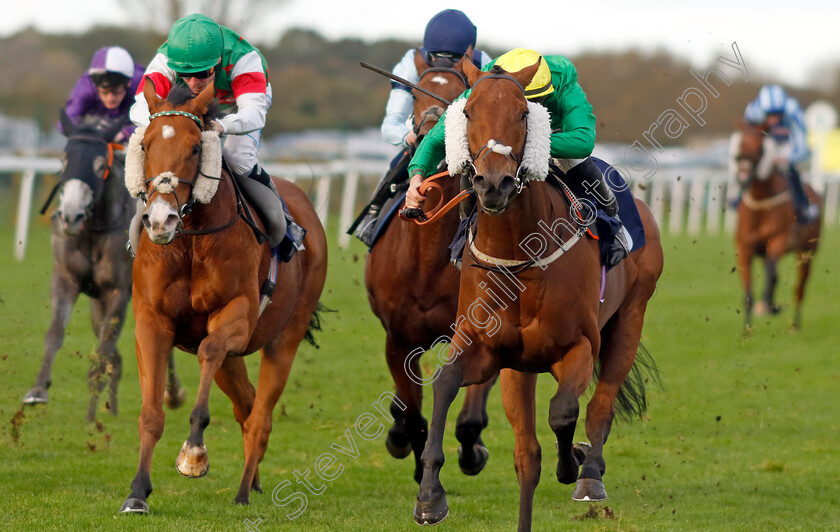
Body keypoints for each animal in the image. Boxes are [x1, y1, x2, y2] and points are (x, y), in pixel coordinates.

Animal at [23, 111, 185, 420]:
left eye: (100, 166)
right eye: (64, 159)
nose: (70, 217)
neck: (94, 229)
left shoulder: (118, 290)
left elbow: (105, 346)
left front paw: (91, 413)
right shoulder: (66, 280)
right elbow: (56, 333)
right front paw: (37, 390)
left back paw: (172, 393)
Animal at [119, 80, 328, 516]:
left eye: (195, 147)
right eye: (145, 144)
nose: (161, 220)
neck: (190, 242)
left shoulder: (237, 314)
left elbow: (209, 350)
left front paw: (194, 453)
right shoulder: (151, 321)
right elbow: (151, 413)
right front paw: (137, 492)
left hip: (285, 337)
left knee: (260, 415)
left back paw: (245, 489)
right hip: (237, 359)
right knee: (246, 406)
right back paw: (256, 478)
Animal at [366, 51, 496, 482]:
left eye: (462, 96)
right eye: (416, 95)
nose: (428, 136)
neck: (425, 263)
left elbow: (469, 419)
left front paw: (472, 454)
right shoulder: (399, 340)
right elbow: (412, 415)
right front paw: (413, 455)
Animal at [412, 59, 664, 532]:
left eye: (524, 114)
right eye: (467, 112)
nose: (493, 183)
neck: (518, 252)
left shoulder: (579, 345)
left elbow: (564, 411)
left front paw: (574, 461)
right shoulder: (486, 347)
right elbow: (445, 382)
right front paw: (430, 495)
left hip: (631, 318)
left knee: (600, 404)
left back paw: (589, 472)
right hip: (520, 367)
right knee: (526, 456)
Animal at [736, 123, 820, 332]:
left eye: (760, 146)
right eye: (740, 142)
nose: (743, 170)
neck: (761, 203)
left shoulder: (778, 240)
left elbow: (772, 275)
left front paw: (770, 306)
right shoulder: (744, 247)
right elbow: (749, 292)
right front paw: (746, 331)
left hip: (806, 252)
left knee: (799, 289)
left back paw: (794, 326)